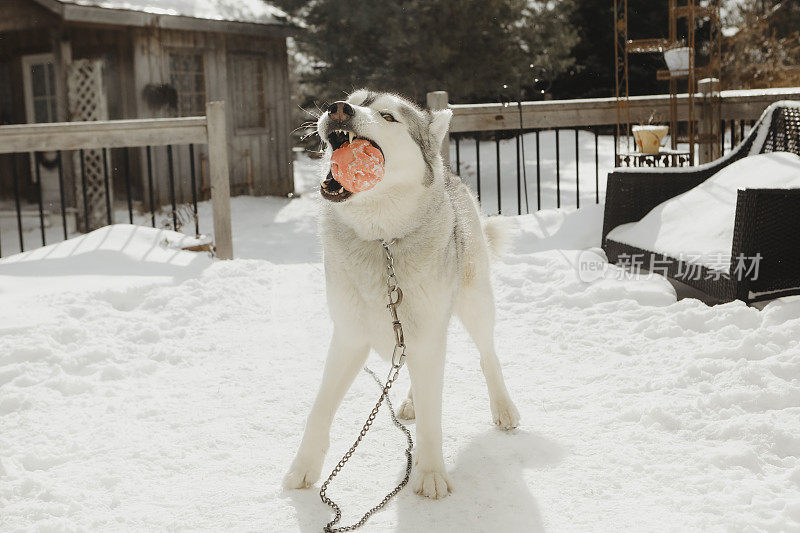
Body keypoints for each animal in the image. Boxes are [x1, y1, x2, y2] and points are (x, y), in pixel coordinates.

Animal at [284, 88, 520, 498]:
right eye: (352, 99)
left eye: (388, 116)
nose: (338, 109)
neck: (383, 241)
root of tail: (451, 174)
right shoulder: (349, 338)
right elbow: (320, 410)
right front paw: (304, 468)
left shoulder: (426, 337)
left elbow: (431, 420)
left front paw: (431, 474)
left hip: (475, 304)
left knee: (488, 356)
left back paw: (503, 408)